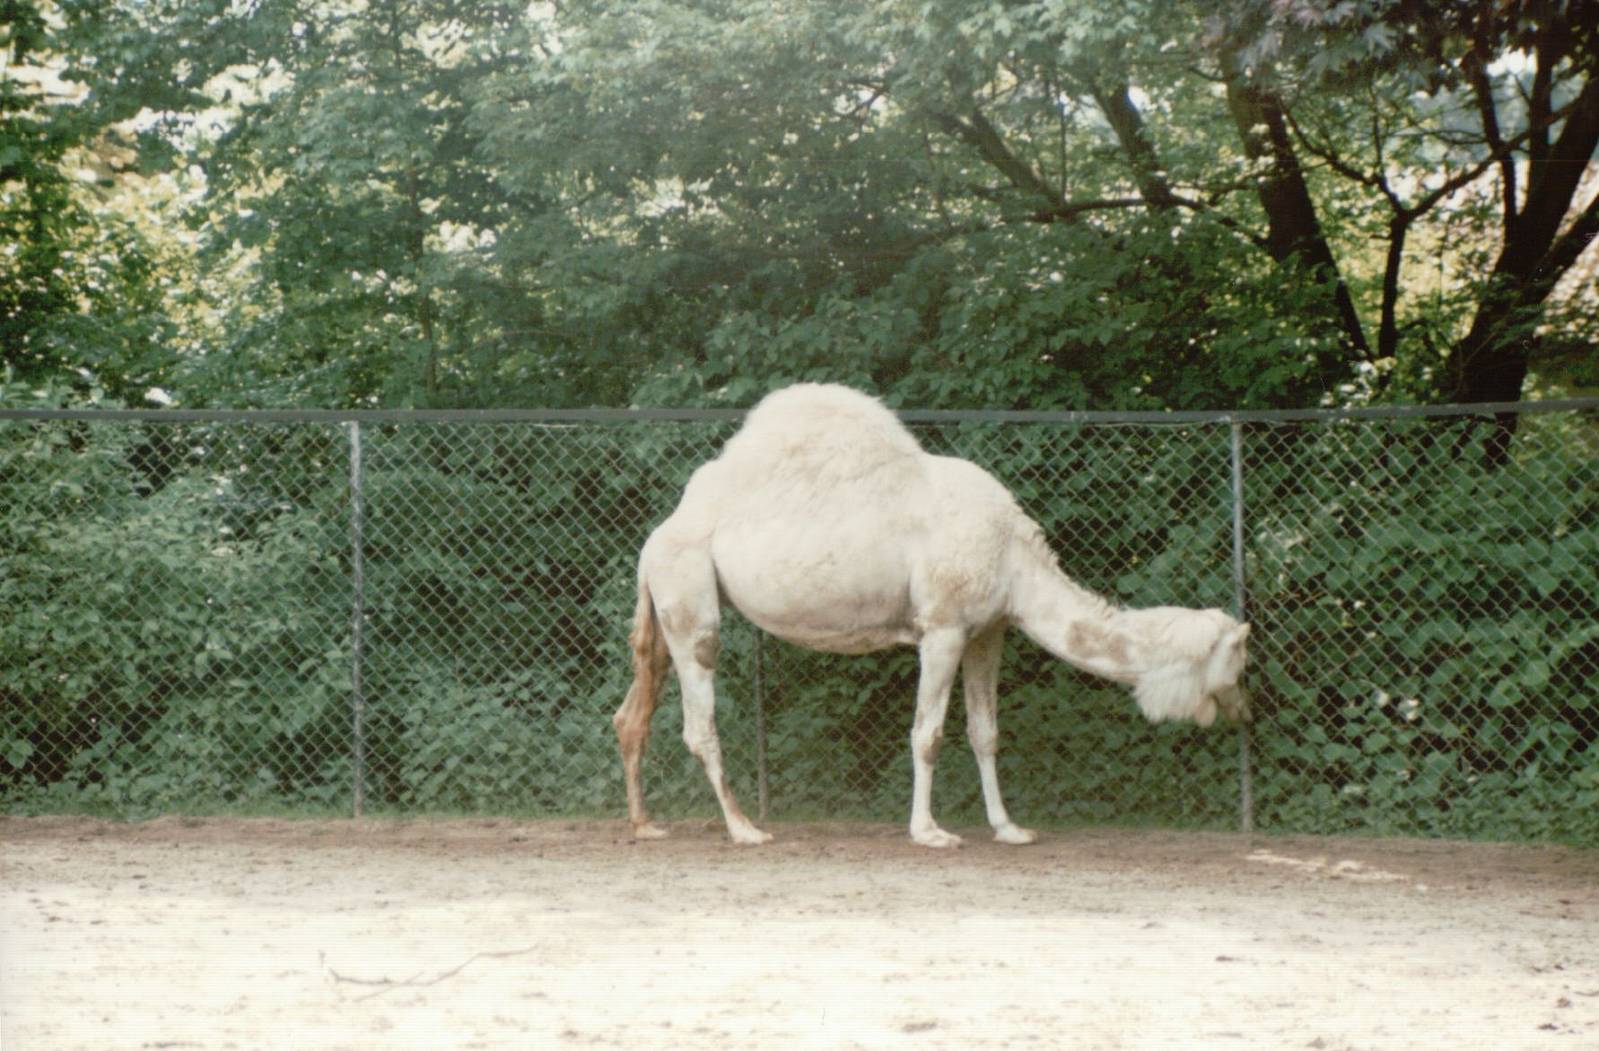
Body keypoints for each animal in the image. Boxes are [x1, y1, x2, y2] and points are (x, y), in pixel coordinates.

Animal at [613, 383, 1251, 847]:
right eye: (1239, 660)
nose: (1246, 708)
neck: (1013, 557)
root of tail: (657, 537)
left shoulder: (988, 630)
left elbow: (985, 732)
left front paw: (1009, 828)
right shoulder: (941, 628)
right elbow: (928, 733)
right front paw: (930, 832)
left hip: (667, 609)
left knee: (632, 714)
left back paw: (645, 824)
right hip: (691, 598)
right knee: (700, 721)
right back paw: (745, 829)